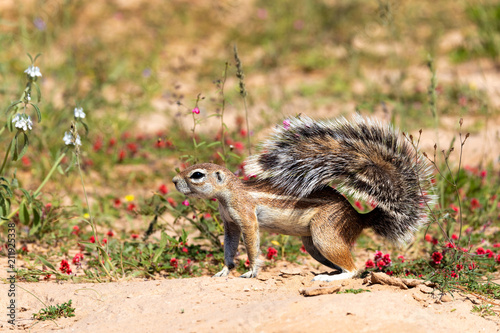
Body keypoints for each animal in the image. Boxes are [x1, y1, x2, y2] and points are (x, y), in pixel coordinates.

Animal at [173, 114, 434, 280]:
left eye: (197, 175)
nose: (174, 181)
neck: (229, 193)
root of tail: (359, 217)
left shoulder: (246, 217)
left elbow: (252, 245)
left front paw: (252, 271)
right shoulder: (230, 224)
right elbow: (229, 248)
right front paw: (224, 270)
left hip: (325, 233)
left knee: (354, 269)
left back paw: (331, 278)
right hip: (312, 245)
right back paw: (329, 272)